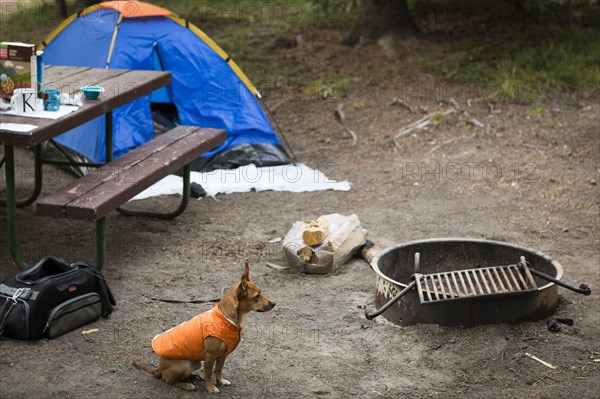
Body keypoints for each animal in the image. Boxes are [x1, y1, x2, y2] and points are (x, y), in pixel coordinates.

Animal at [133, 262, 274, 394]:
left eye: (261, 293)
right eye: (257, 296)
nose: (274, 303)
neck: (226, 318)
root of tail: (159, 368)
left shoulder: (223, 355)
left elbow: (219, 369)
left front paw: (221, 380)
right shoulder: (210, 356)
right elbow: (208, 373)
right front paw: (210, 387)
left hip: (195, 363)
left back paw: (193, 377)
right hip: (185, 365)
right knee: (168, 379)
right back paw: (186, 384)